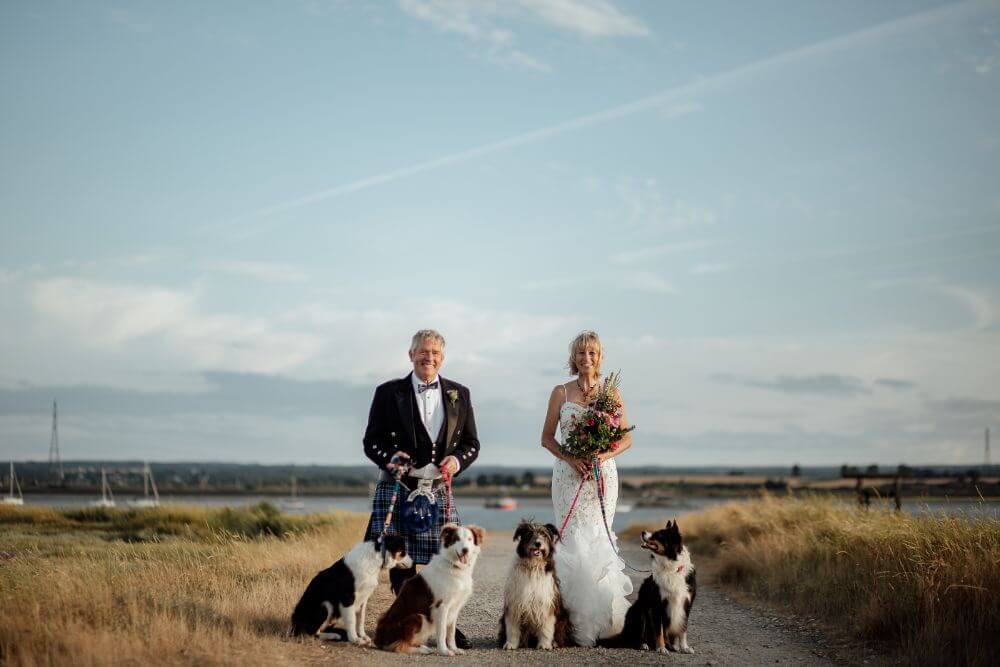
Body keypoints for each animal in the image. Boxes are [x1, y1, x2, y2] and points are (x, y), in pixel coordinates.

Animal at [376, 520, 484, 656]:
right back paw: (422, 649)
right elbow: (442, 631)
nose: (465, 550)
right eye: (456, 539)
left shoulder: (455, 605)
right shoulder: (441, 605)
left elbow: (451, 632)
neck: (453, 565)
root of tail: (379, 638)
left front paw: (454, 649)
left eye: (470, 539)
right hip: (417, 617)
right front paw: (444, 651)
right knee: (399, 645)